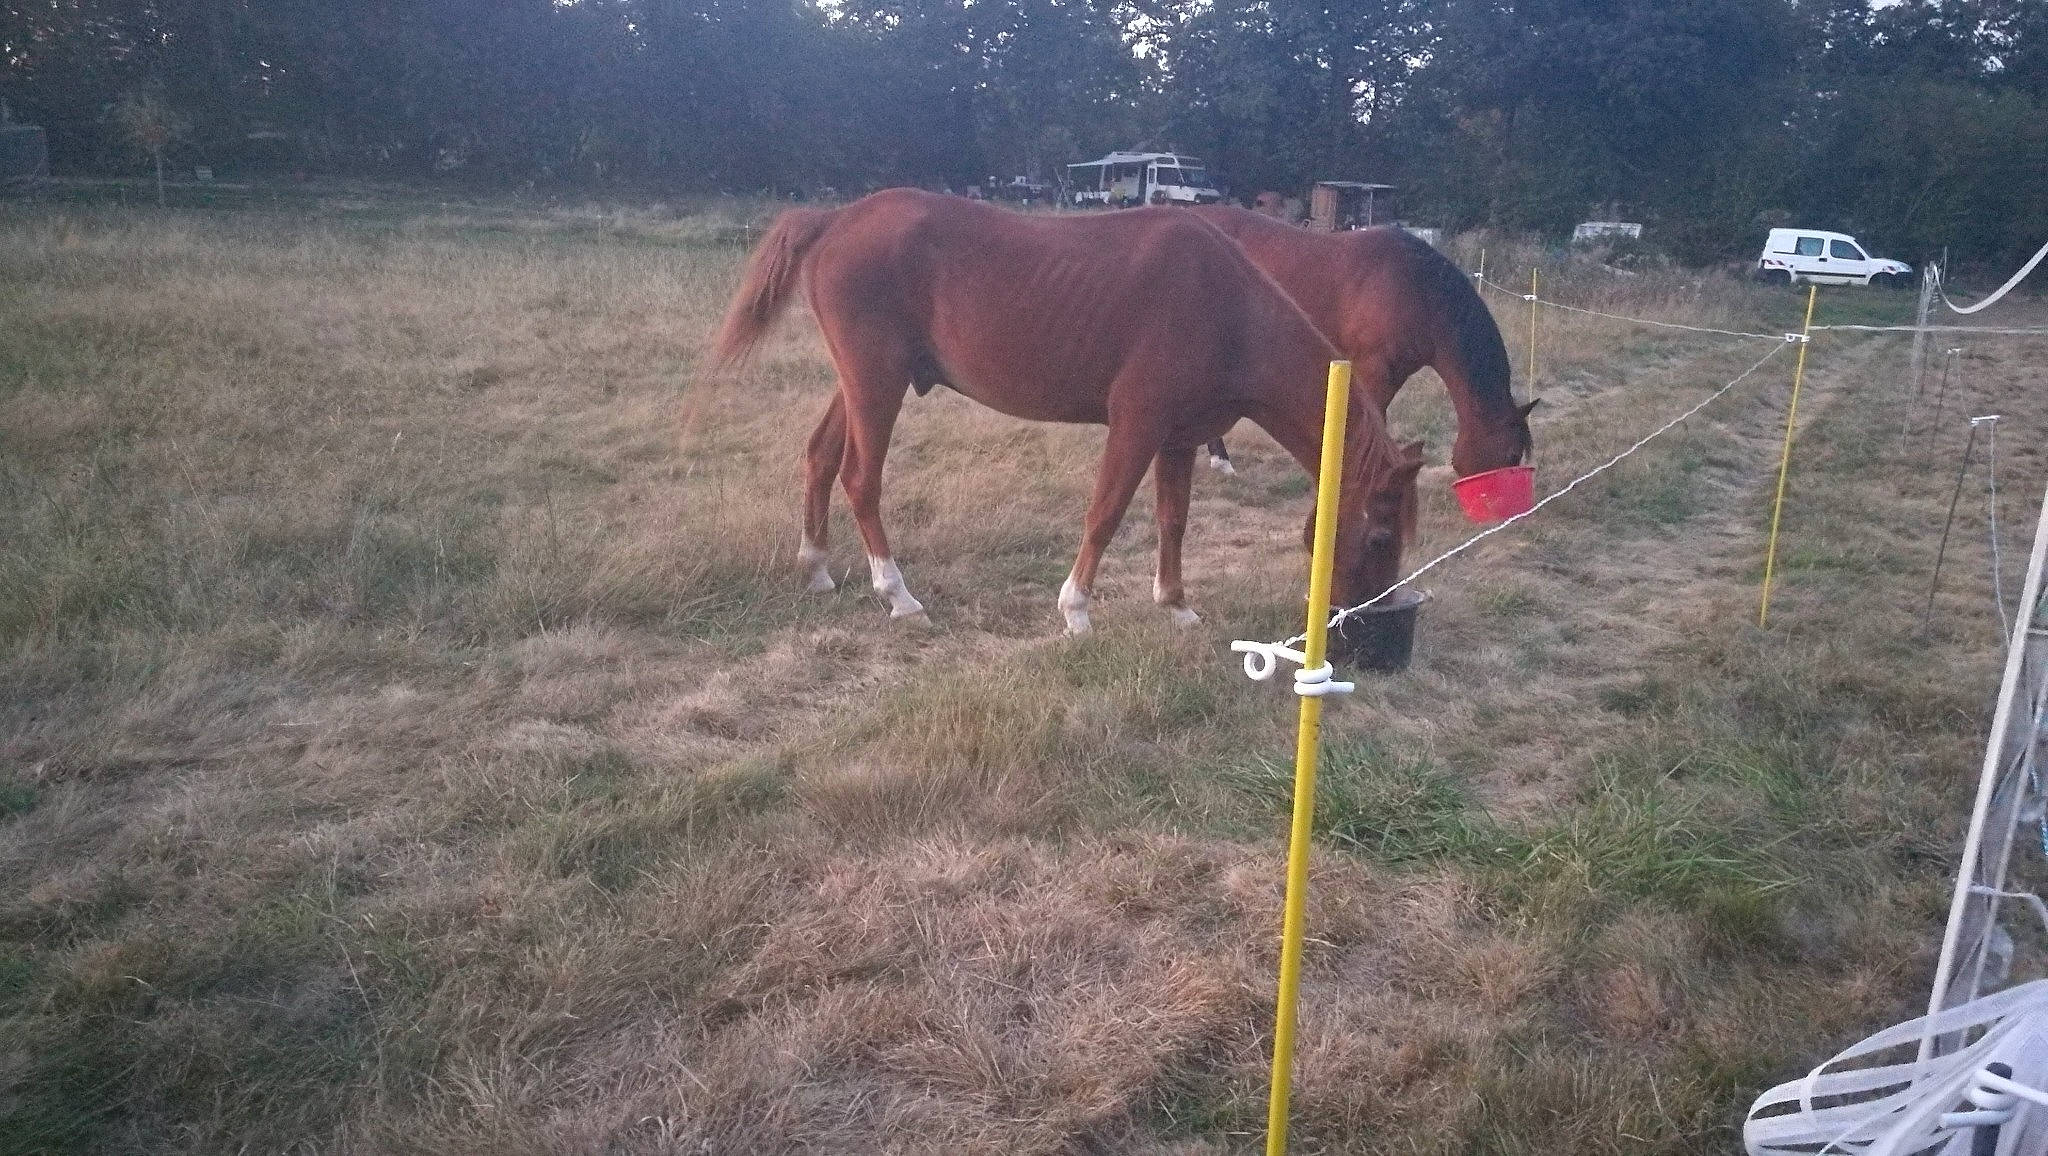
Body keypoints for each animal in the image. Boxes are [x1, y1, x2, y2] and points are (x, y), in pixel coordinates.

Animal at [713, 188, 1424, 633]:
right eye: (1381, 536)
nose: (1363, 616)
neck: (1227, 308)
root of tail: (836, 220)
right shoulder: (1137, 425)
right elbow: (1105, 516)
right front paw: (1076, 611)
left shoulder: (1179, 438)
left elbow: (1173, 522)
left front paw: (1177, 607)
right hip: (877, 385)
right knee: (860, 480)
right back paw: (899, 596)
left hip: (861, 385)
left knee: (818, 458)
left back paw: (816, 568)